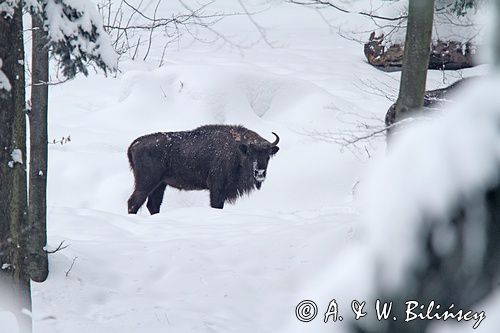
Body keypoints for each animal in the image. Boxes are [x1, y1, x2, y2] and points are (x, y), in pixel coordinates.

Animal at [127, 124, 280, 213]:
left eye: (267, 155)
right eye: (250, 154)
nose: (260, 172)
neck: (237, 150)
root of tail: (135, 144)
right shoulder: (217, 188)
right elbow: (216, 205)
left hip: (160, 185)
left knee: (153, 205)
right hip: (146, 183)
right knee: (134, 202)